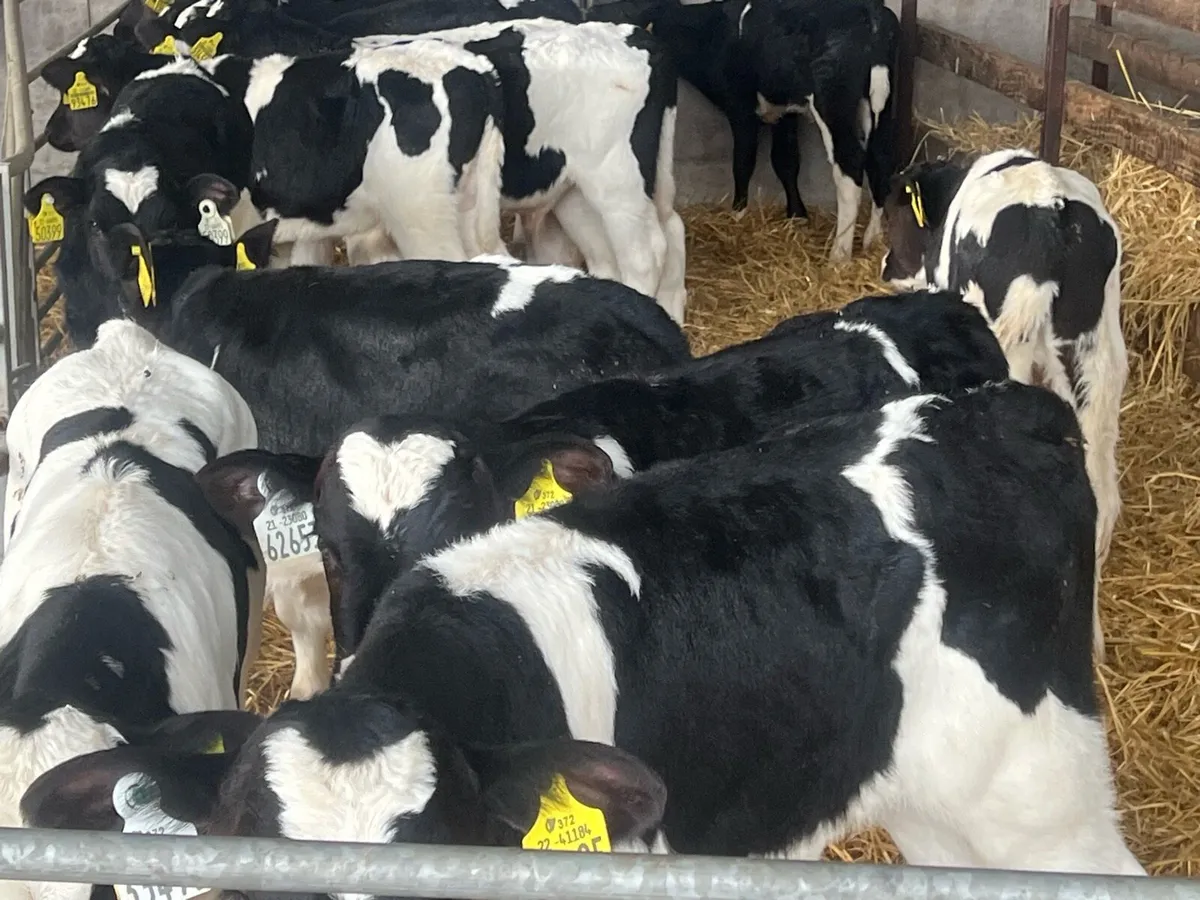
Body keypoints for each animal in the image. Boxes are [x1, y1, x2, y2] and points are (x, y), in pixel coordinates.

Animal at [880, 147, 1128, 661]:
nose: (885, 267)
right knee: (1100, 492)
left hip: (1008, 342)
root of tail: (1052, 210)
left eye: (894, 212)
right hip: (1097, 354)